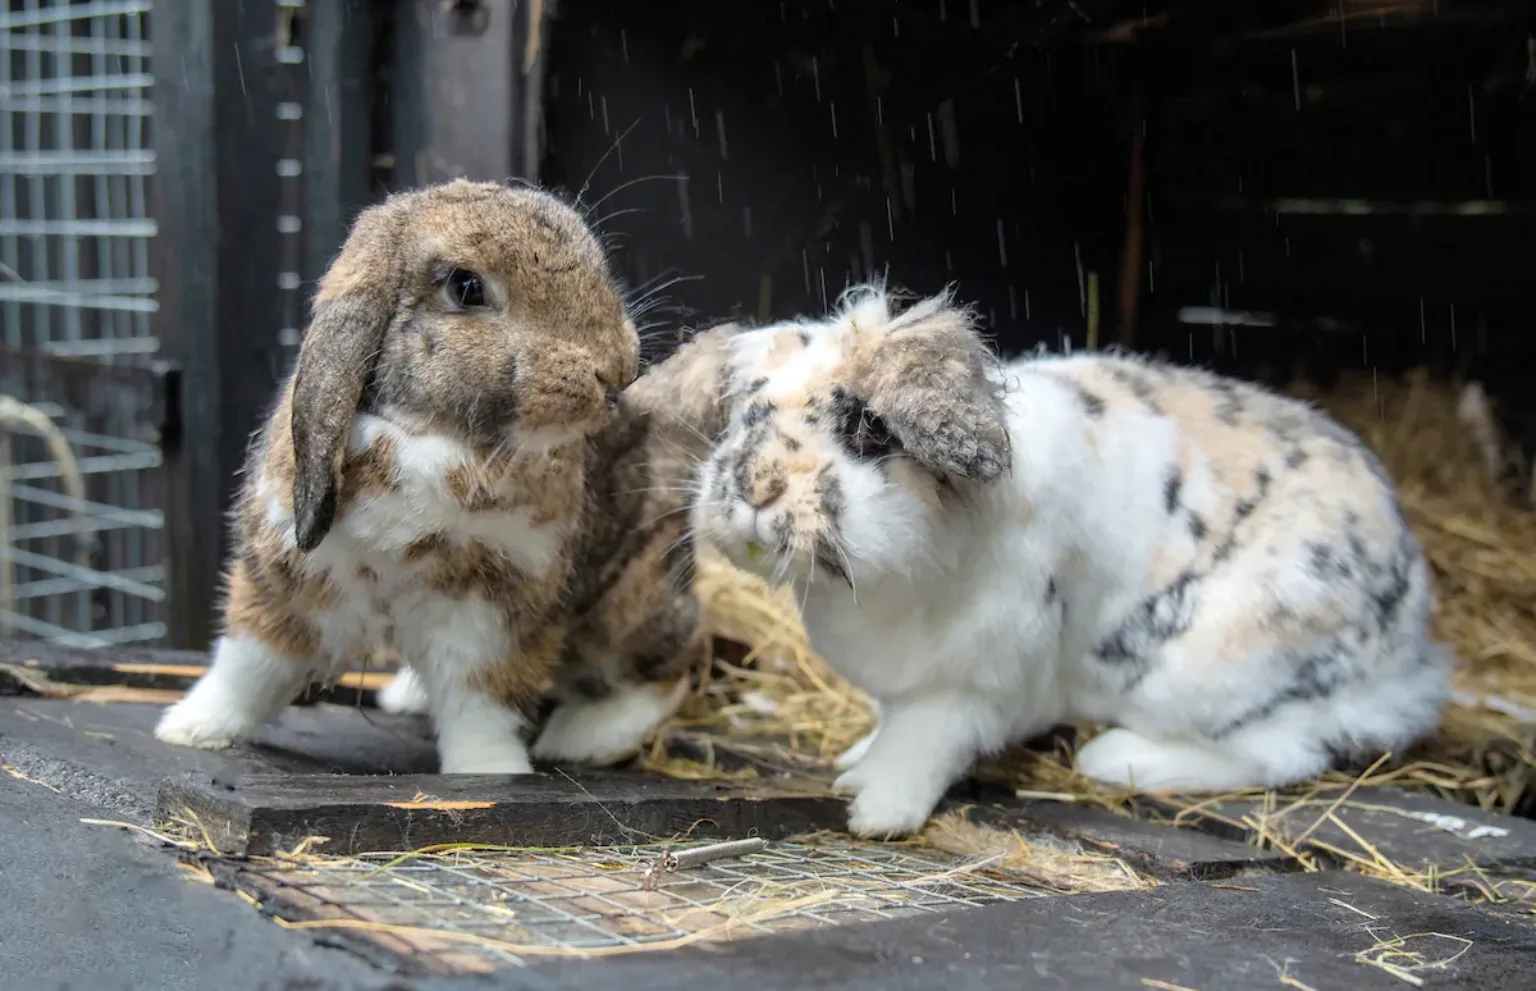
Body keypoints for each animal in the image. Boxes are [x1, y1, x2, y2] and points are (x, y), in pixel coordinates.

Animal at [153, 179, 639, 775]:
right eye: (467, 287)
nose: (616, 371)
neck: (436, 442)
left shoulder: (492, 619)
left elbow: (479, 704)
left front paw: (490, 771)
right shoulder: (287, 585)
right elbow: (249, 668)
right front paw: (191, 730)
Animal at [680, 284, 1450, 838]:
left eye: (868, 430)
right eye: (747, 413)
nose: (753, 486)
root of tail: (1409, 644)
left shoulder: (976, 682)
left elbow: (925, 740)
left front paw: (875, 809)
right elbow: (892, 724)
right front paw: (854, 759)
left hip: (1212, 666)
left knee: (1282, 749)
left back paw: (1115, 757)